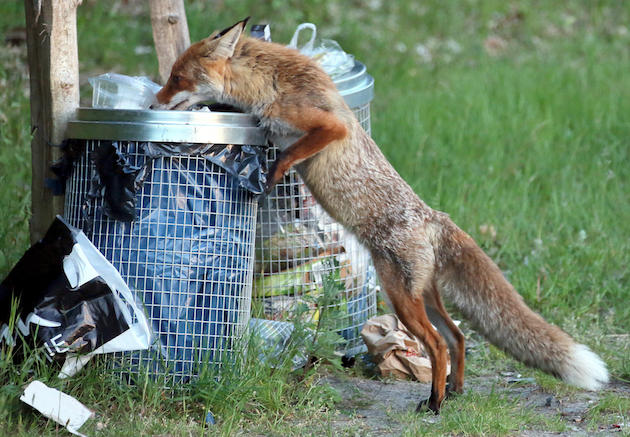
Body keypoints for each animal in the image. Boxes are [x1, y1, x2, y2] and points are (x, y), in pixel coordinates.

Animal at [156, 17, 608, 412]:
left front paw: (270, 178)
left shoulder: (327, 126)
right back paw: (456, 391)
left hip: (400, 297)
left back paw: (434, 403)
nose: (154, 102)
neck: (271, 82)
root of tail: (433, 217)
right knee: (458, 337)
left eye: (177, 78)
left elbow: (287, 155)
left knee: (438, 344)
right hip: (423, 296)